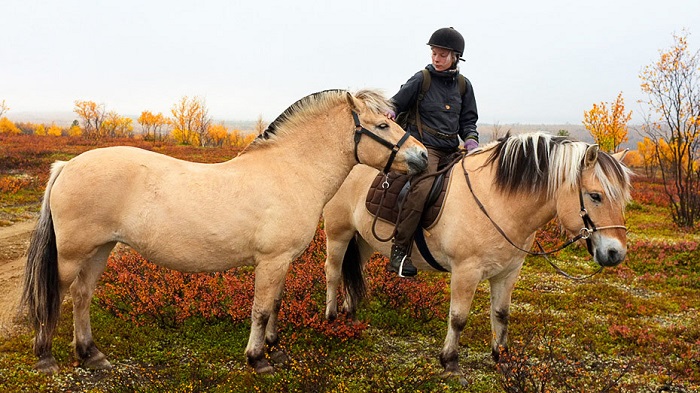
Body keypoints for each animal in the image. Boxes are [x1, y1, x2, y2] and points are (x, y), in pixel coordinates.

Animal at [20, 89, 426, 374]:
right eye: (382, 126)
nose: (422, 157)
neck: (291, 171)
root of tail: (66, 166)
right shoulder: (271, 261)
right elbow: (260, 310)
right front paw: (257, 359)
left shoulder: (281, 262)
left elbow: (274, 304)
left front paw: (275, 348)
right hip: (72, 254)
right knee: (55, 295)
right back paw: (46, 357)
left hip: (101, 249)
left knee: (82, 295)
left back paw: (91, 355)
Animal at [322, 132, 636, 380]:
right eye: (595, 196)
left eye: (622, 199)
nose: (615, 253)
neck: (498, 202)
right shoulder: (466, 272)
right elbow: (458, 318)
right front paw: (450, 364)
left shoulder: (508, 273)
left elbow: (501, 314)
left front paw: (503, 359)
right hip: (338, 234)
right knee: (333, 273)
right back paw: (332, 319)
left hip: (363, 240)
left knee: (355, 275)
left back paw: (352, 319)